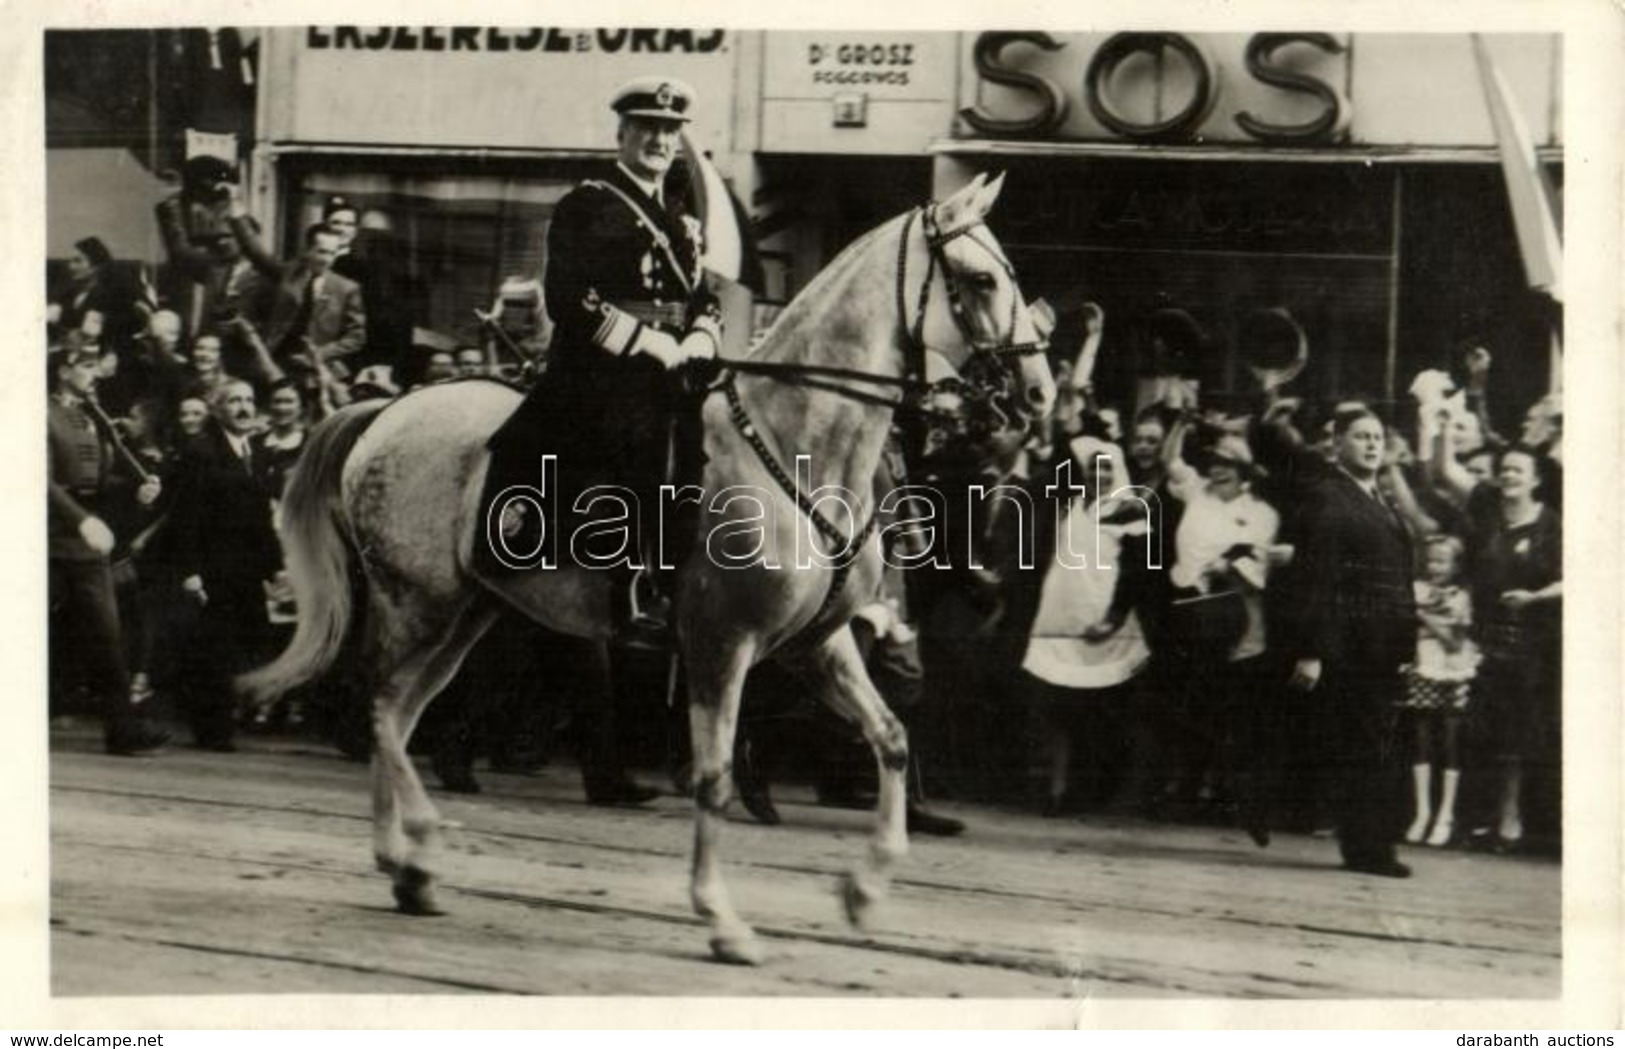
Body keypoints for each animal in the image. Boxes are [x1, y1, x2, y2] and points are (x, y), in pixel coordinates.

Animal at [240, 172, 1053, 967]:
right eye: (981, 279)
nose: (1040, 393)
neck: (793, 442)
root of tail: (386, 410)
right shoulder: (721, 641)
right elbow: (713, 776)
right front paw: (722, 918)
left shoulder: (814, 643)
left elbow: (889, 737)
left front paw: (864, 890)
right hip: (418, 603)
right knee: (379, 709)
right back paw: (418, 849)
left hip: (467, 614)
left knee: (400, 714)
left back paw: (405, 865)